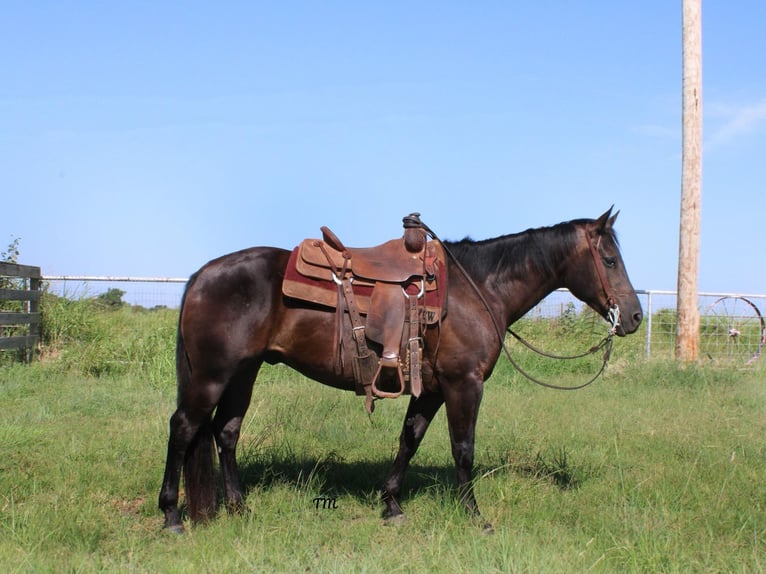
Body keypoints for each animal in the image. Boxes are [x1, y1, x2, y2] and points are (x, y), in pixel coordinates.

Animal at [160, 208, 640, 536]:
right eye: (610, 260)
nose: (633, 317)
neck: (478, 290)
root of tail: (202, 275)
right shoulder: (463, 385)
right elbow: (463, 450)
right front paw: (474, 515)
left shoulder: (432, 389)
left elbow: (410, 439)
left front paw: (391, 505)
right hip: (212, 376)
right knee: (184, 428)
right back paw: (171, 515)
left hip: (244, 373)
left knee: (226, 432)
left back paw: (239, 508)